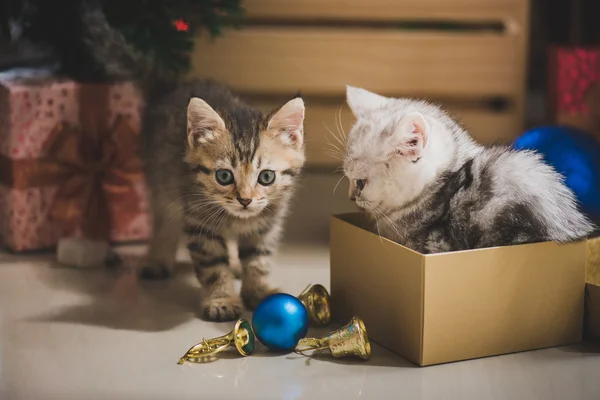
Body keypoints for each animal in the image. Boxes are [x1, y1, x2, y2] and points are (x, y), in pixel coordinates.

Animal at [78, 0, 304, 320]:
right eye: (224, 176)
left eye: (266, 177)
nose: (245, 200)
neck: (234, 218)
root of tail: (169, 86)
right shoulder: (199, 222)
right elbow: (212, 266)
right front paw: (222, 298)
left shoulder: (266, 224)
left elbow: (258, 260)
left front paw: (259, 291)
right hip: (160, 180)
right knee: (163, 220)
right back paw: (157, 258)